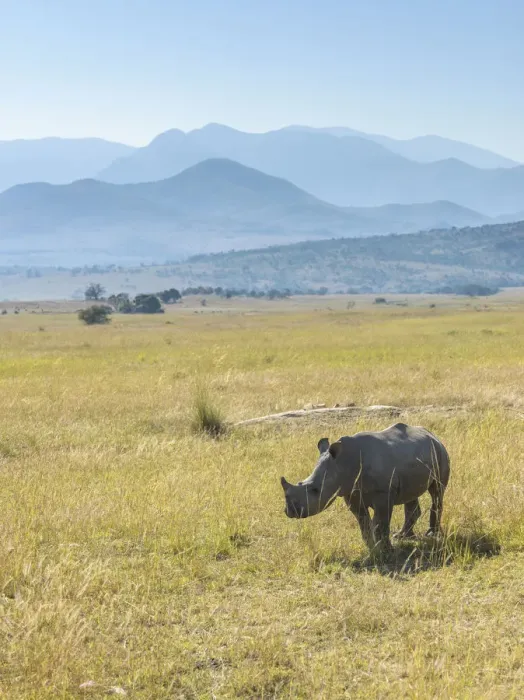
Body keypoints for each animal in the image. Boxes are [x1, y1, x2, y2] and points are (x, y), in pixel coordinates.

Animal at [280, 422, 450, 552]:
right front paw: (371, 547)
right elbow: (364, 523)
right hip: (415, 456)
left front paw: (386, 550)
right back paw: (403, 536)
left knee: (437, 491)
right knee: (410, 494)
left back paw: (431, 535)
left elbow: (380, 524)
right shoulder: (351, 493)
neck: (342, 462)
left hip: (440, 452)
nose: (290, 511)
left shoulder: (383, 493)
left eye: (315, 490)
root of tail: (431, 434)